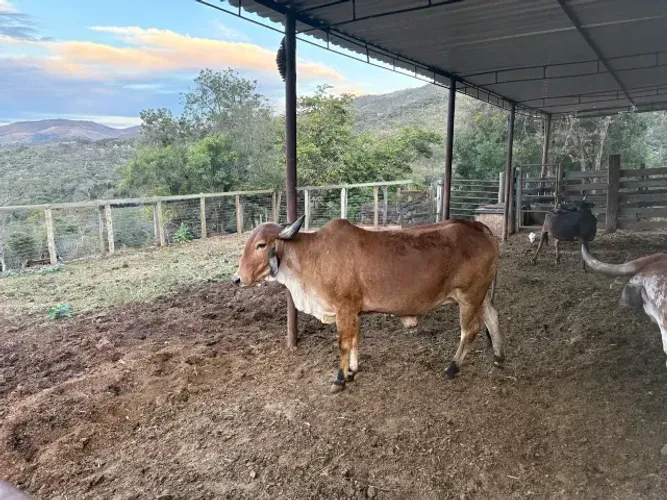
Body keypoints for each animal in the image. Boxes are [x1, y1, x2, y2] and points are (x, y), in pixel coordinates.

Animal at [233, 216, 503, 393]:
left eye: (261, 245)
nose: (237, 279)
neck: (313, 256)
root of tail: (477, 227)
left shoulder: (344, 308)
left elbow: (343, 344)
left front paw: (339, 379)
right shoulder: (354, 311)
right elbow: (355, 340)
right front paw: (352, 371)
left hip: (469, 295)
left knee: (470, 330)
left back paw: (452, 368)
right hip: (479, 296)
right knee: (493, 317)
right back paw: (499, 356)